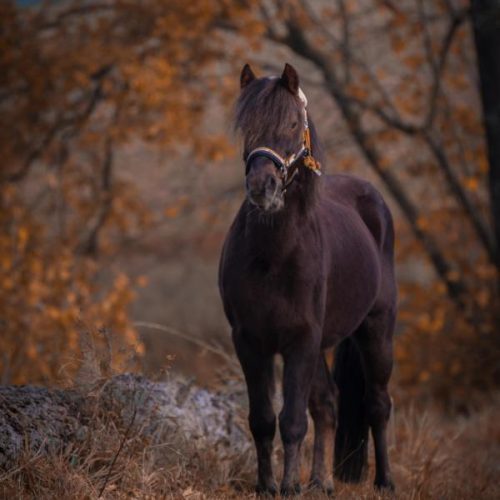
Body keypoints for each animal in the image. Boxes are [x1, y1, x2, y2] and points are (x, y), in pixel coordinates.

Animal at [219, 63, 398, 496]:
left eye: (293, 122)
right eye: (246, 126)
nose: (262, 187)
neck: (274, 256)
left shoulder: (300, 340)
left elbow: (293, 421)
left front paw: (288, 487)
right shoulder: (249, 341)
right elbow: (263, 419)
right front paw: (266, 486)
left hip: (376, 330)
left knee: (377, 405)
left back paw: (384, 481)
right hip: (320, 345)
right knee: (328, 403)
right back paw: (322, 482)